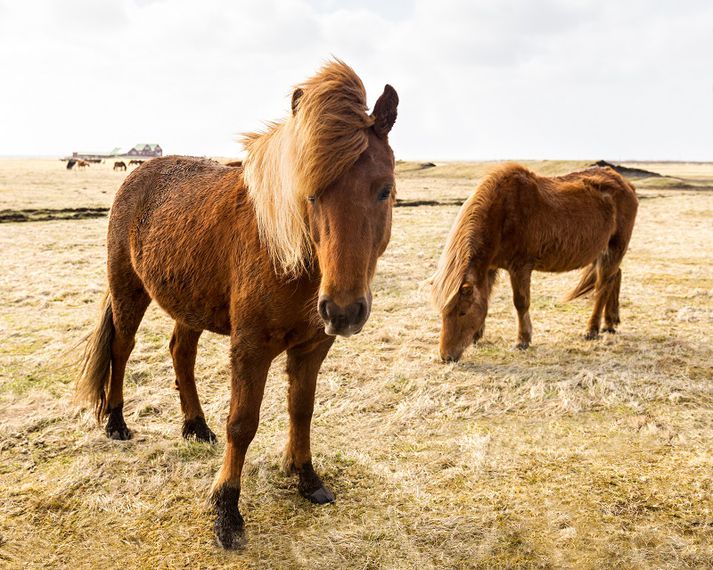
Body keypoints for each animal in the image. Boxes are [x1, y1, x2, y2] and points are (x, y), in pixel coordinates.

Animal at [78, 61, 400, 544]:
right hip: (129, 291)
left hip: (187, 301)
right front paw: (226, 512)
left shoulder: (313, 347)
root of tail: (138, 173)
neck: (288, 255)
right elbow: (243, 423)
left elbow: (301, 410)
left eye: (385, 190)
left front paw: (307, 479)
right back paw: (117, 423)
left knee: (181, 353)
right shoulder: (251, 347)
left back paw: (195, 426)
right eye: (310, 193)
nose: (343, 310)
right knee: (122, 348)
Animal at [432, 162, 636, 362]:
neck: (501, 214)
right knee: (614, 277)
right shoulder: (489, 268)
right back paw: (610, 323)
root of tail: (626, 184)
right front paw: (477, 335)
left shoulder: (520, 267)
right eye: (442, 312)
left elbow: (521, 303)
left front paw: (522, 340)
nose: (446, 357)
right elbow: (486, 296)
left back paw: (592, 329)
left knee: (602, 288)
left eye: (462, 312)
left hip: (614, 248)